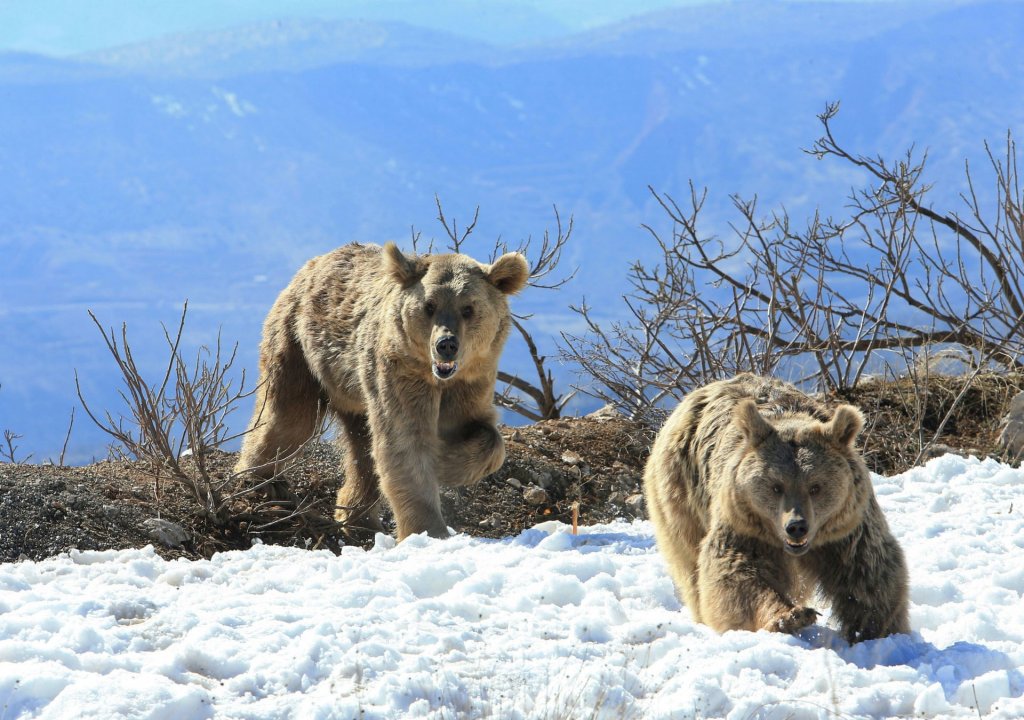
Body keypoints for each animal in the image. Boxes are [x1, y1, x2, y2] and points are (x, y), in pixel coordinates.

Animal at [235, 241, 528, 540]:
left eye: (468, 308)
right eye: (429, 305)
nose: (446, 344)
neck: (437, 377)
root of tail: (312, 264)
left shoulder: (473, 380)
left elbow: (483, 433)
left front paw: (447, 462)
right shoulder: (401, 372)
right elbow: (404, 441)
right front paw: (429, 528)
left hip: (351, 389)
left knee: (361, 449)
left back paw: (358, 517)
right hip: (300, 347)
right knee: (290, 417)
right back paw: (262, 478)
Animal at [643, 374, 909, 643]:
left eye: (816, 486)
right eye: (776, 486)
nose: (796, 526)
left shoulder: (846, 529)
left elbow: (870, 575)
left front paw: (874, 627)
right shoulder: (747, 526)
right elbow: (738, 575)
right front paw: (790, 616)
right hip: (682, 490)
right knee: (690, 561)